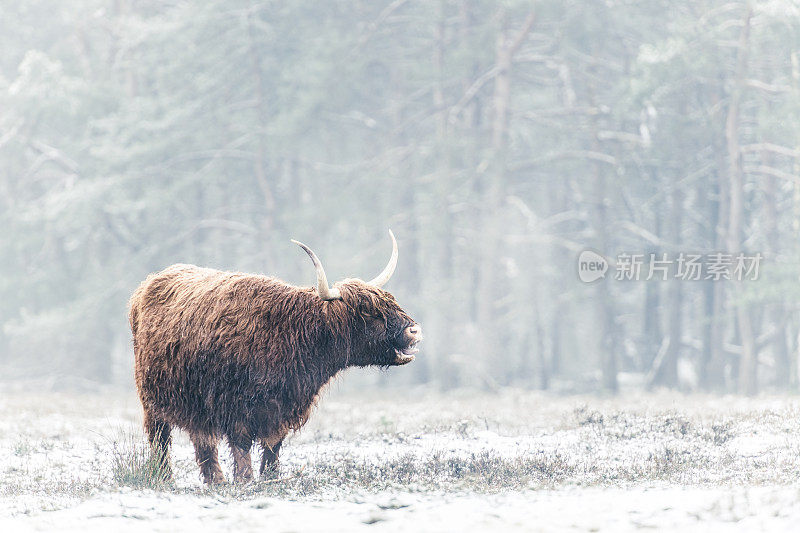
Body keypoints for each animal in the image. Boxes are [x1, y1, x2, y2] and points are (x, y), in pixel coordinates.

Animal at [128, 231, 422, 484]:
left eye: (391, 301)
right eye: (369, 312)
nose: (414, 330)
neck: (294, 332)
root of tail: (148, 284)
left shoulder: (282, 407)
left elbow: (272, 449)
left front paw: (269, 479)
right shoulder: (237, 406)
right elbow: (242, 446)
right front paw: (245, 481)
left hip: (196, 402)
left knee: (203, 441)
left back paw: (216, 481)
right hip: (152, 400)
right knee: (161, 440)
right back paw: (165, 477)